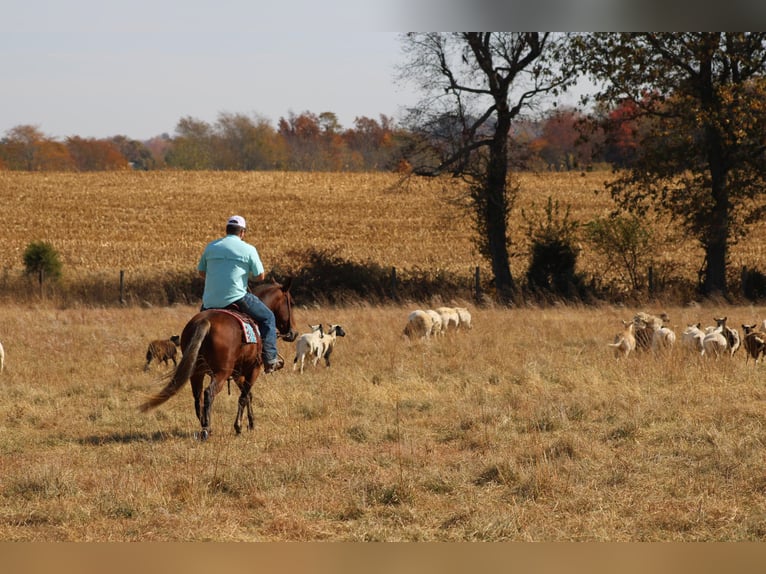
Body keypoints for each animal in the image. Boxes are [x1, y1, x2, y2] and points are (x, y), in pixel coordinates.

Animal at [142, 280, 298, 440]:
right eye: (291, 303)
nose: (294, 333)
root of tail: (205, 321)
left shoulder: (238, 373)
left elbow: (248, 395)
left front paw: (251, 423)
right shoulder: (253, 369)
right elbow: (244, 397)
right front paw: (239, 426)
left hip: (197, 372)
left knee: (198, 398)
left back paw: (205, 425)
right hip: (221, 373)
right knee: (208, 393)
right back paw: (206, 429)